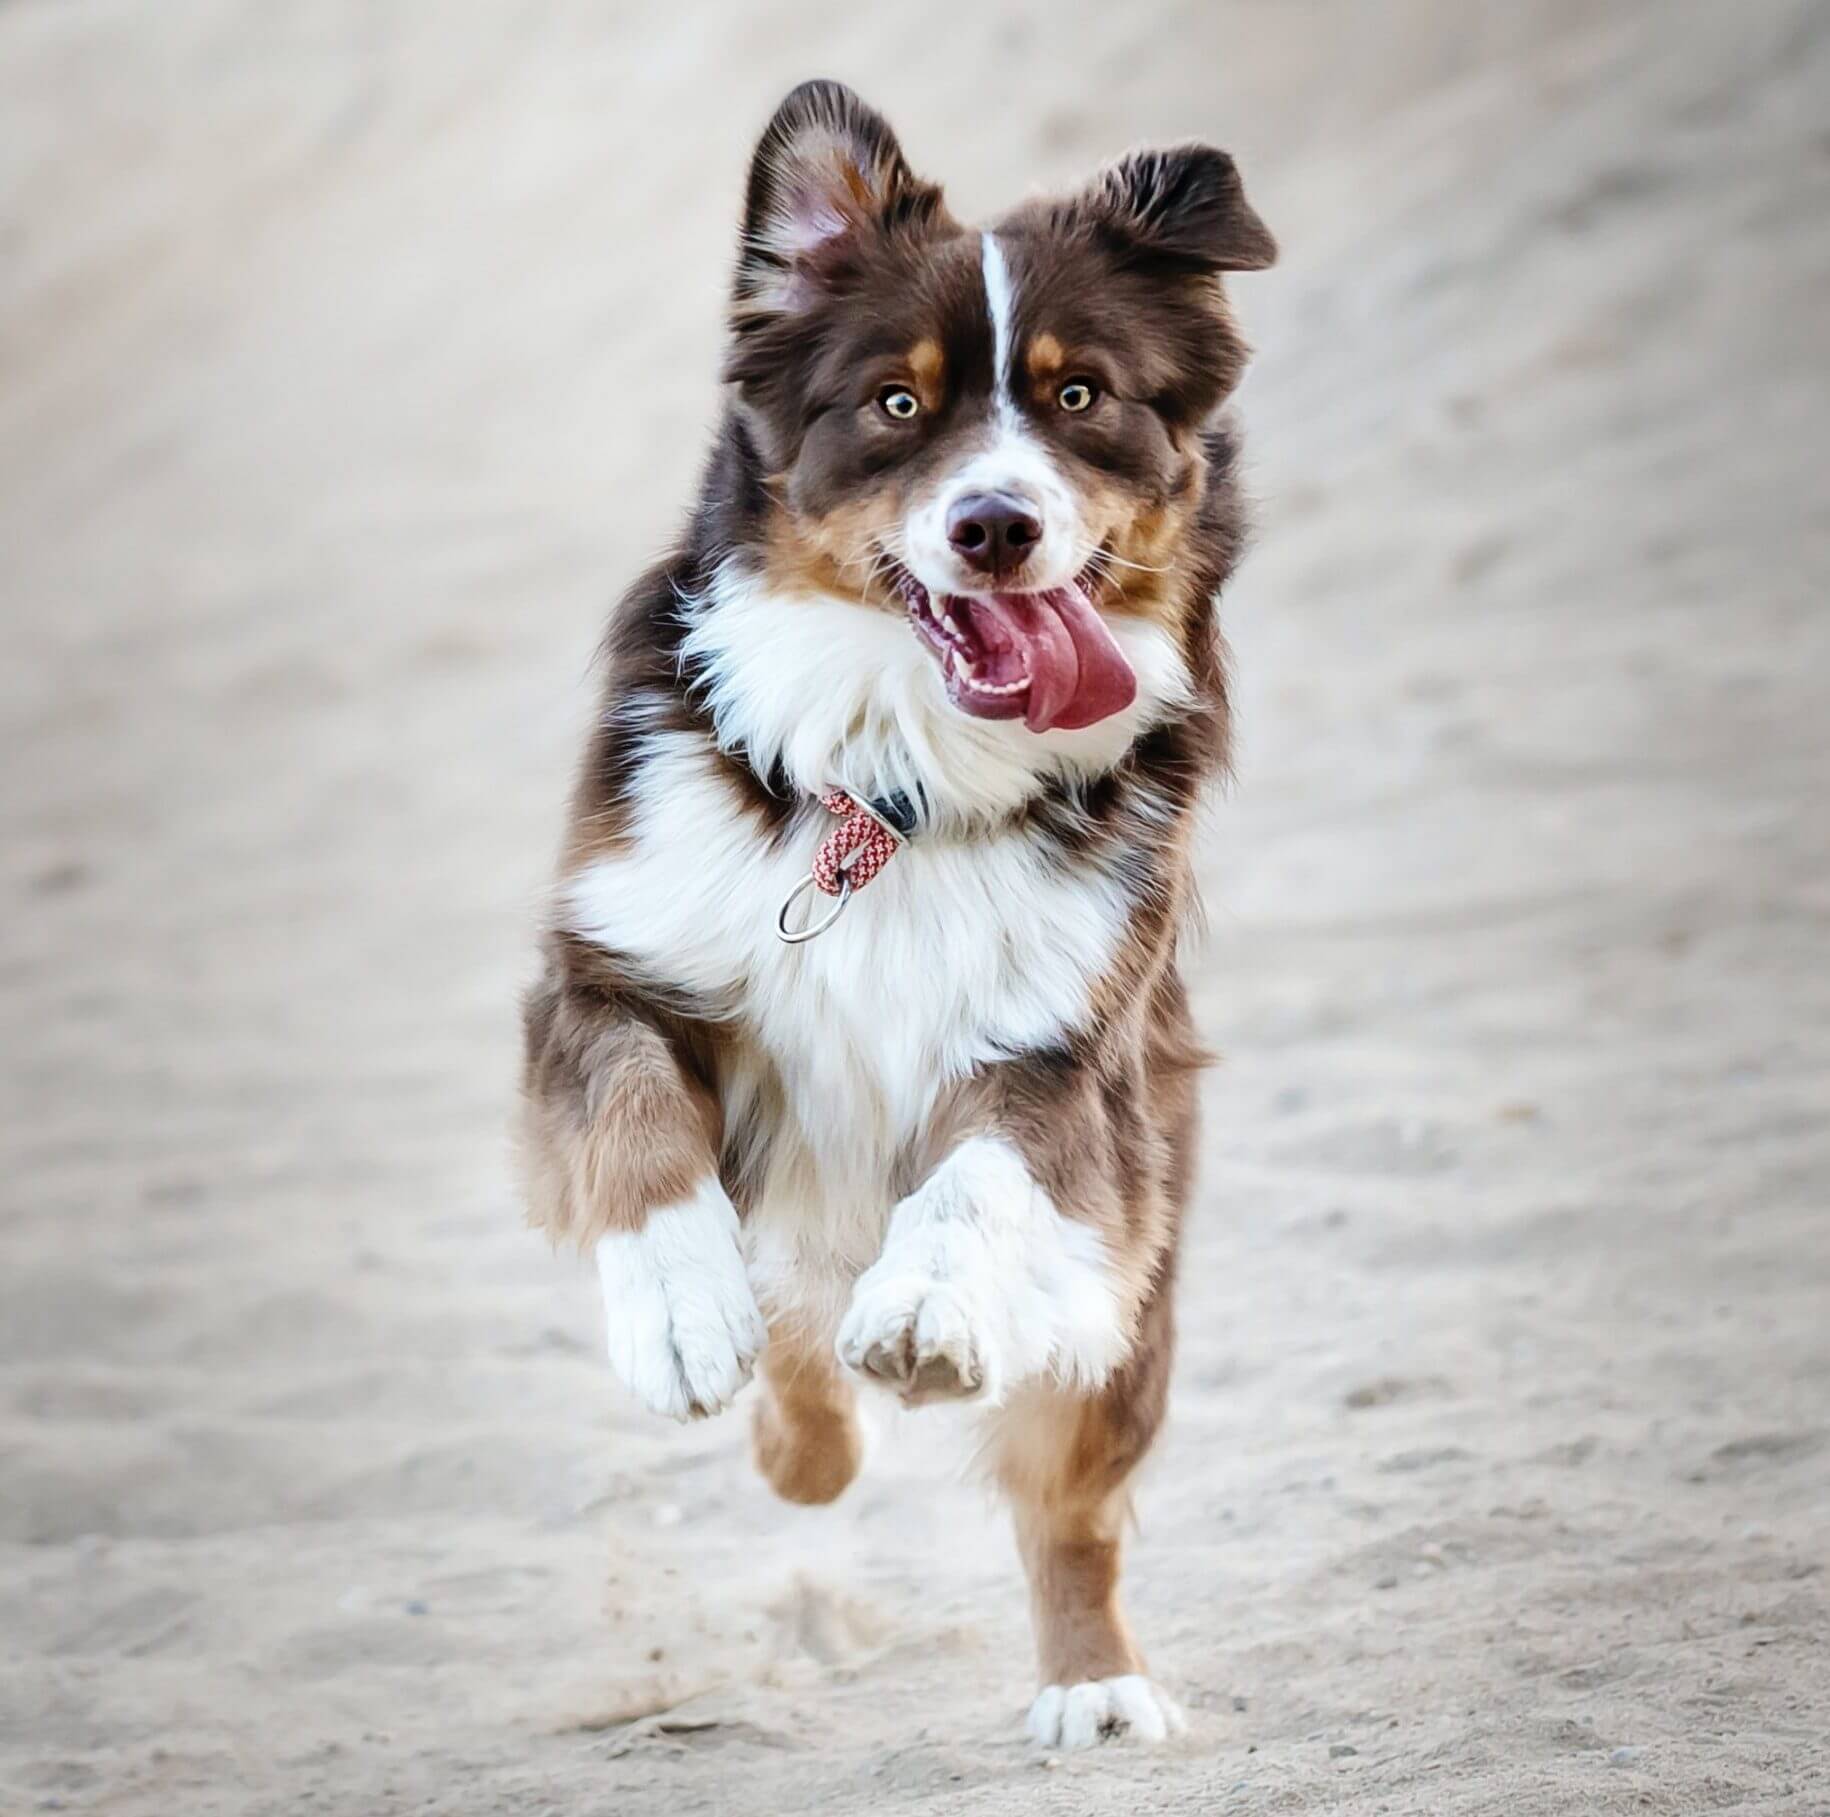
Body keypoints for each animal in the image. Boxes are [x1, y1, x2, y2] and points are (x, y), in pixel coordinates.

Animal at [519, 81, 1273, 1741]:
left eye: (1077, 395)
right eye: (895, 406)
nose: (994, 526)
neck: (893, 785)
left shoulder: (1067, 1052)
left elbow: (977, 1179)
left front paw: (925, 1308)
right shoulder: (608, 967)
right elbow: (634, 1122)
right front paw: (680, 1311)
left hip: (1131, 1277)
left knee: (1068, 1502)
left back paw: (1092, 1684)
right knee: (799, 1345)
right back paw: (792, 1417)